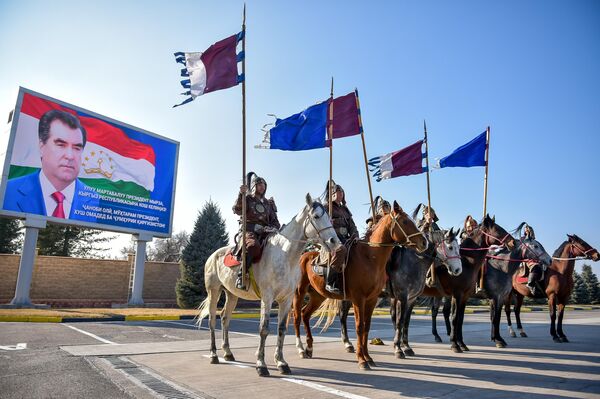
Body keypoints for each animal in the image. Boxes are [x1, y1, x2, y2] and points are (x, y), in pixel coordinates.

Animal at [198, 196, 342, 378]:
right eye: (316, 216)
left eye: (329, 218)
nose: (335, 242)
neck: (286, 257)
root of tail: (212, 256)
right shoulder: (267, 298)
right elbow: (264, 329)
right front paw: (261, 364)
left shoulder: (286, 299)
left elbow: (281, 329)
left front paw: (281, 362)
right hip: (214, 291)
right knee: (211, 319)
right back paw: (213, 355)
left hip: (232, 294)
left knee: (225, 318)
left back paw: (228, 352)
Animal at [292, 202, 426, 370]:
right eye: (405, 222)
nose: (424, 242)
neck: (370, 258)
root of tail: (304, 255)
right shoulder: (358, 298)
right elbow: (359, 326)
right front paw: (361, 359)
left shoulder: (372, 300)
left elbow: (367, 327)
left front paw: (368, 357)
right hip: (299, 292)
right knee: (297, 316)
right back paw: (301, 349)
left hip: (318, 296)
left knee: (305, 314)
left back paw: (309, 348)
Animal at [390, 227, 464, 360]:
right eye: (450, 247)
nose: (458, 270)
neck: (413, 262)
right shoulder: (402, 297)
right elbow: (400, 321)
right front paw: (398, 348)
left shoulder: (411, 299)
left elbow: (406, 321)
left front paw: (406, 347)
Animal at [420, 216, 516, 354]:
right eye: (498, 229)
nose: (513, 242)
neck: (467, 263)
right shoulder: (457, 294)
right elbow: (455, 317)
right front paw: (455, 344)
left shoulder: (465, 296)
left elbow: (461, 318)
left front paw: (461, 343)